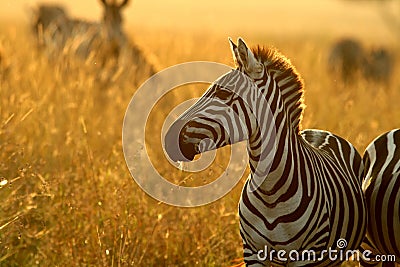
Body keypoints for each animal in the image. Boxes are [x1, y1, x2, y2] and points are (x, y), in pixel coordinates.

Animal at [162, 37, 366, 266]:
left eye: (223, 93)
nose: (168, 139)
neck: (271, 192)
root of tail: (318, 132)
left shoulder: (306, 255)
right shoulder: (252, 252)